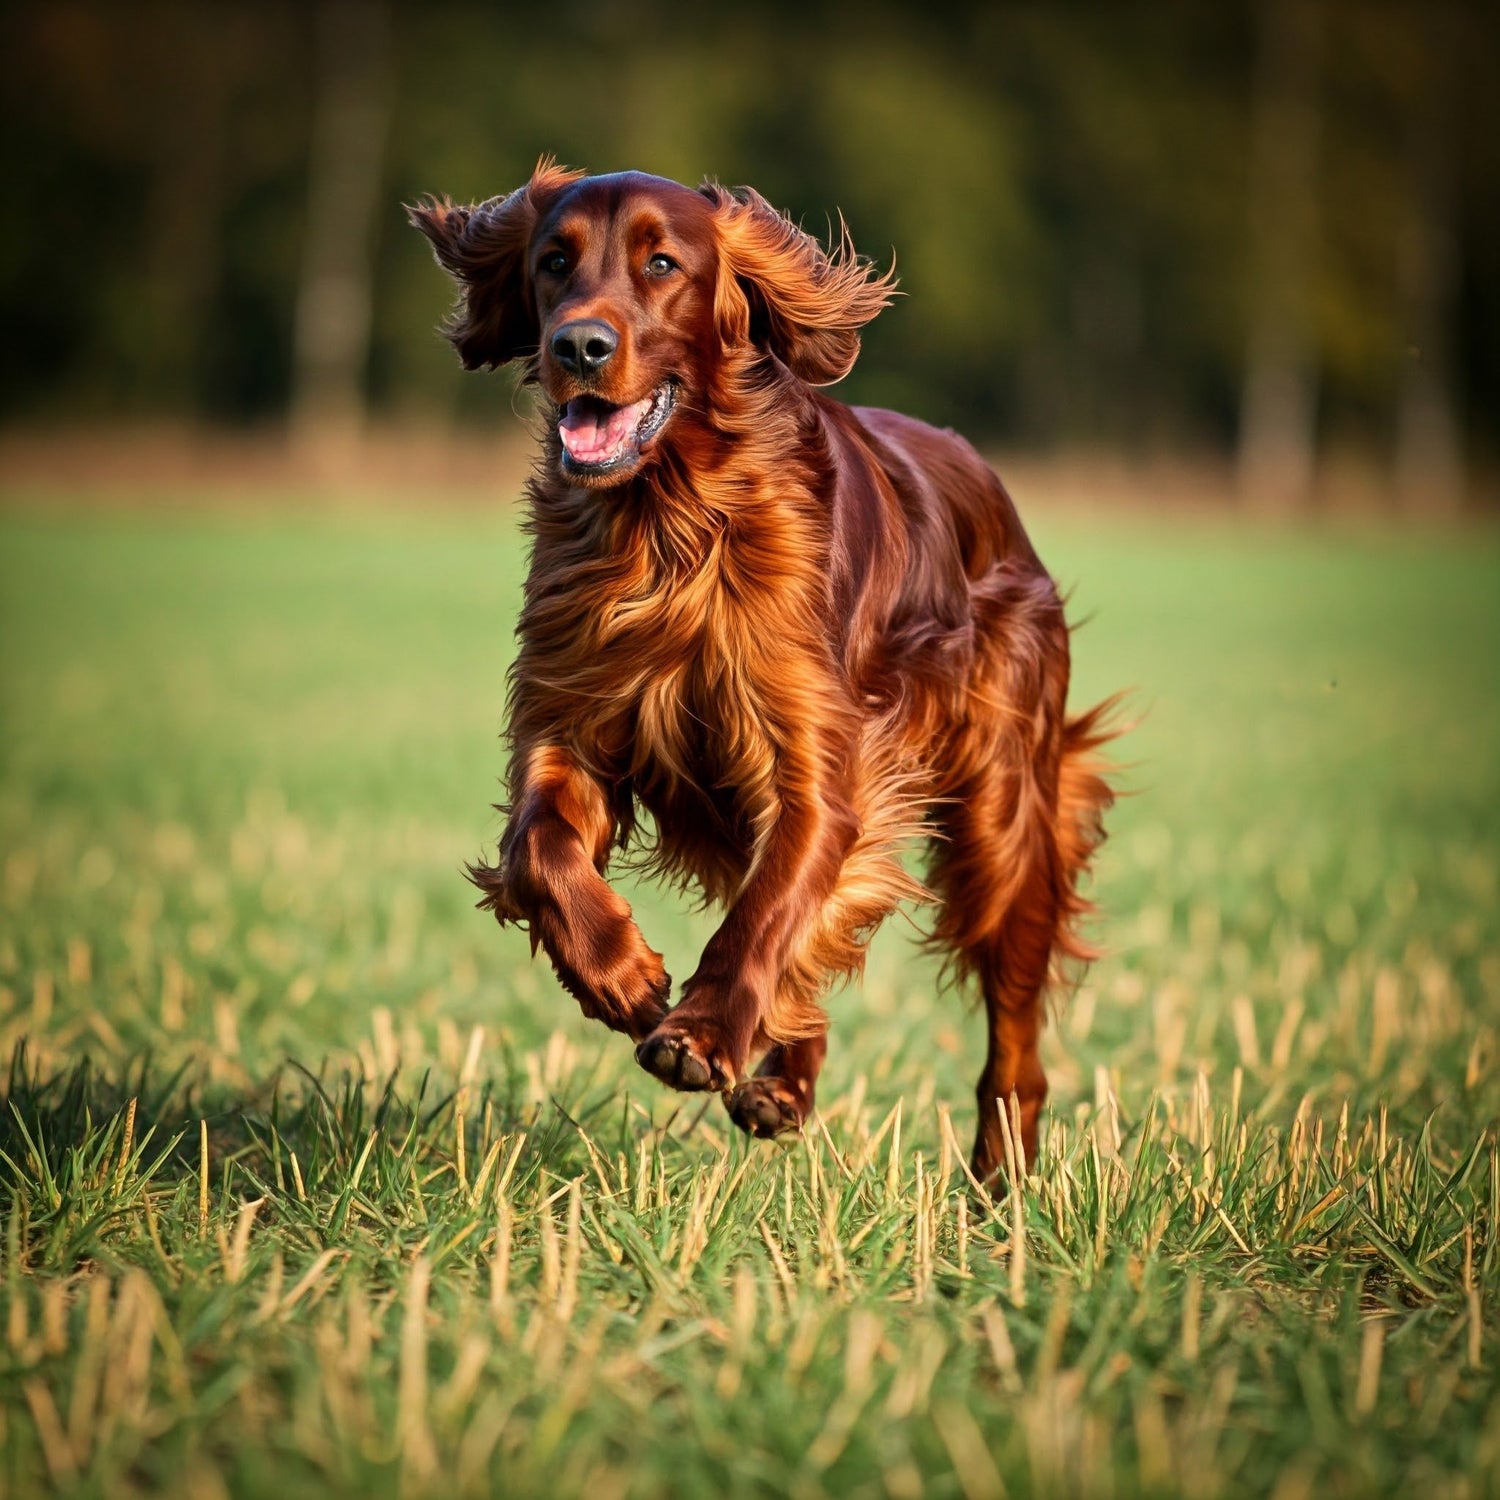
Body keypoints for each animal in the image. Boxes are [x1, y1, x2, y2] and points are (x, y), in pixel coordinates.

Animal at [411, 161, 1116, 1170]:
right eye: (553, 260)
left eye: (662, 263)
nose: (577, 344)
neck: (670, 525)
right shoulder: (570, 721)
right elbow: (541, 851)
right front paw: (619, 976)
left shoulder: (812, 767)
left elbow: (771, 912)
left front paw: (700, 1035)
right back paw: (785, 1080)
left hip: (1003, 815)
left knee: (1011, 1020)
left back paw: (1001, 1176)